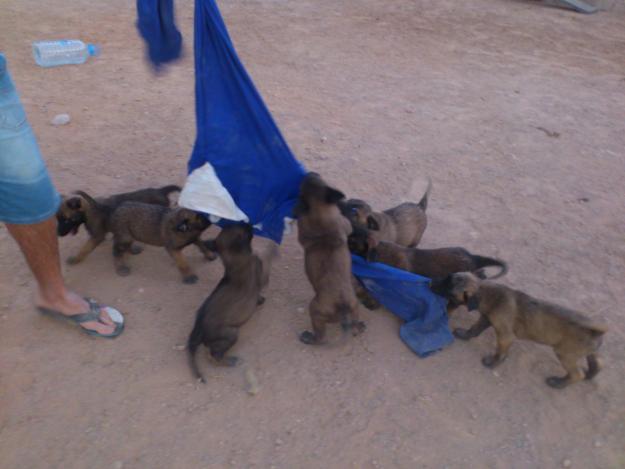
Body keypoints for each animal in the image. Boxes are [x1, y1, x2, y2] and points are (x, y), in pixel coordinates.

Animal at [55, 184, 188, 264]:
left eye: (67, 220)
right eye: (59, 219)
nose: (58, 234)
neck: (90, 210)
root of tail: (160, 190)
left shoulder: (97, 236)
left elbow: (85, 249)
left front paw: (75, 259)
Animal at [186, 225, 276, 382]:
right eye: (244, 230)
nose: (248, 223)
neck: (234, 259)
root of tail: (199, 328)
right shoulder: (261, 275)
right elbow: (267, 259)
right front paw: (273, 248)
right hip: (231, 334)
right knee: (213, 355)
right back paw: (229, 361)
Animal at [294, 172, 364, 344]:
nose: (310, 173)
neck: (319, 211)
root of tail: (342, 308)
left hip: (317, 311)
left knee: (320, 337)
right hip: (353, 306)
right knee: (349, 325)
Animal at [428, 270, 604, 388]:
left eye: (449, 291)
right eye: (446, 277)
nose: (429, 283)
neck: (487, 293)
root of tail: (596, 331)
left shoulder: (505, 336)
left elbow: (500, 352)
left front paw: (492, 363)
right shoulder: (486, 319)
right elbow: (475, 329)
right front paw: (464, 335)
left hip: (565, 354)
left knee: (576, 374)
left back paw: (558, 383)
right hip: (589, 353)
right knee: (597, 365)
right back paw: (589, 375)